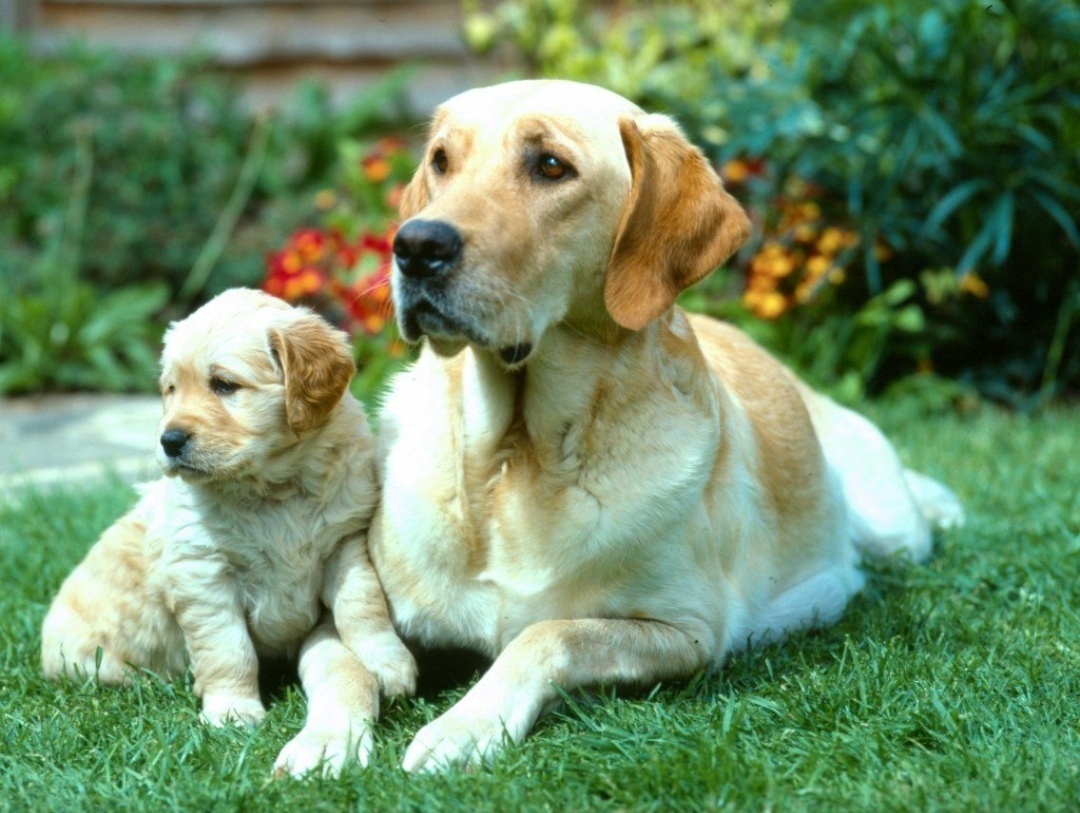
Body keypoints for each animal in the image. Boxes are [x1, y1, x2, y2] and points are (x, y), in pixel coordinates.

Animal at [42, 285, 414, 773]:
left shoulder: (344, 541)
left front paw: (387, 662)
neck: (272, 488)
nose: (169, 440)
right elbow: (228, 649)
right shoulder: (204, 576)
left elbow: (362, 602)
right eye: (171, 389)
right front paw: (233, 711)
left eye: (224, 384)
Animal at [367, 79, 967, 768]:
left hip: (893, 530)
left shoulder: (688, 632)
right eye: (441, 161)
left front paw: (464, 727)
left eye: (551, 166)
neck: (519, 457)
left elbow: (549, 632)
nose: (415, 246)